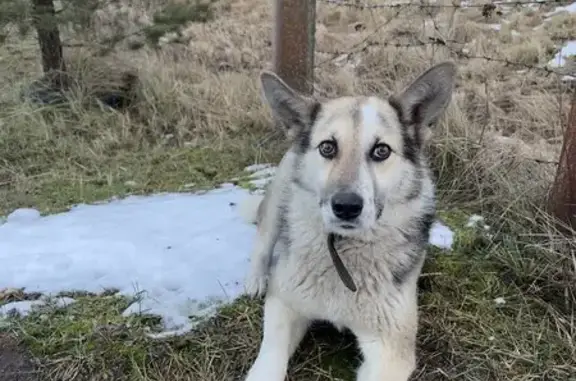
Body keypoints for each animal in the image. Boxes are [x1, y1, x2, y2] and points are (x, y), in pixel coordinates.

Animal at [236, 60, 456, 378]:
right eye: (327, 147)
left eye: (381, 150)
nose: (347, 207)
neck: (343, 251)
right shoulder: (284, 304)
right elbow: (269, 363)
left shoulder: (391, 352)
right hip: (280, 196)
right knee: (264, 241)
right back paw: (256, 278)